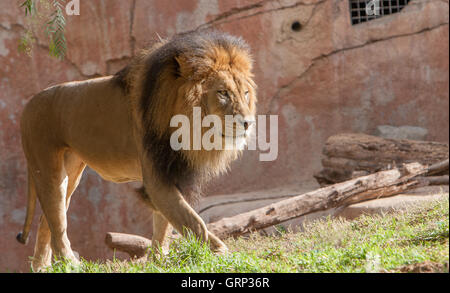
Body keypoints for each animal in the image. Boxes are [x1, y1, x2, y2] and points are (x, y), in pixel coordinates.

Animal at [16, 30, 256, 270]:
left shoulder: (169, 173)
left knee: (46, 220)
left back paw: (42, 267)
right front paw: (222, 254)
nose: (248, 123)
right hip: (47, 169)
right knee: (57, 222)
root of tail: (30, 103)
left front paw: (158, 260)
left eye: (245, 93)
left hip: (71, 172)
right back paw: (71, 264)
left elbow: (165, 223)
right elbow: (192, 221)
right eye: (223, 93)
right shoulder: (156, 175)